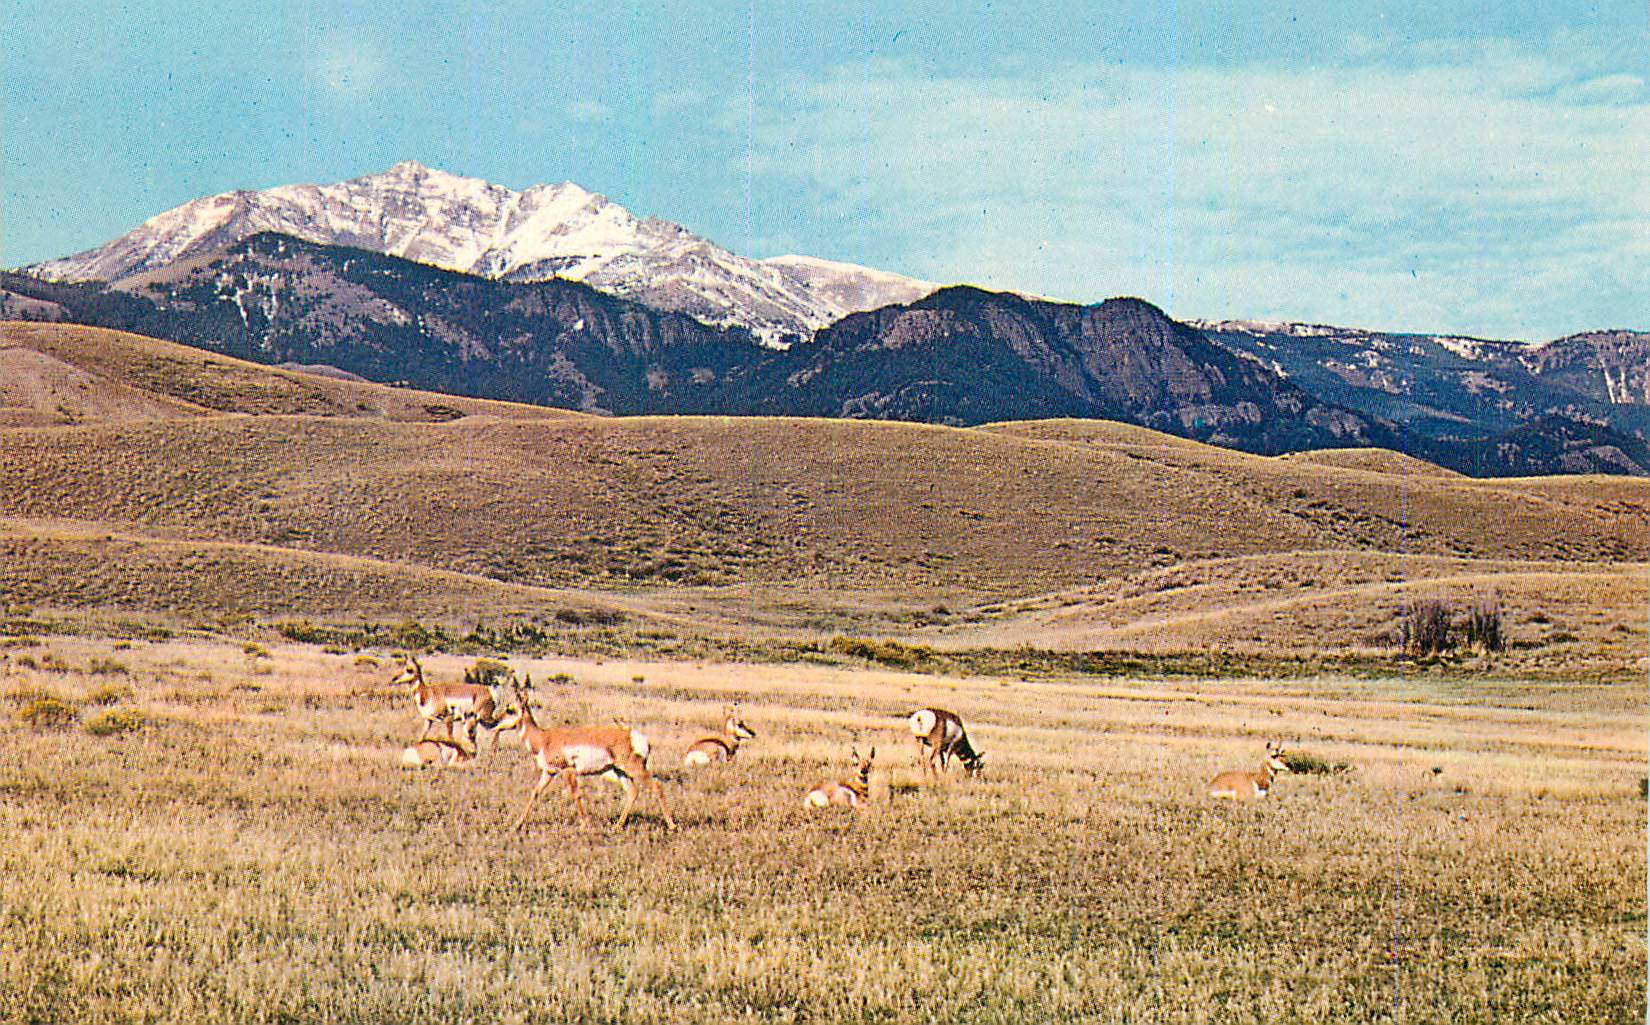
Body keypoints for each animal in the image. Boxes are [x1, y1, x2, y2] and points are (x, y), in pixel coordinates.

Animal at [495, 679, 677, 831]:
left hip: (635, 769)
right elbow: (535, 793)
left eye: (509, 709)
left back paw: (672, 826)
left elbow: (576, 794)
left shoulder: (568, 771)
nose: (493, 722)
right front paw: (517, 824)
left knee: (657, 786)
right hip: (620, 771)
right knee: (632, 792)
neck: (544, 739)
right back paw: (617, 826)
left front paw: (584, 825)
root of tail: (634, 735)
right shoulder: (549, 773)